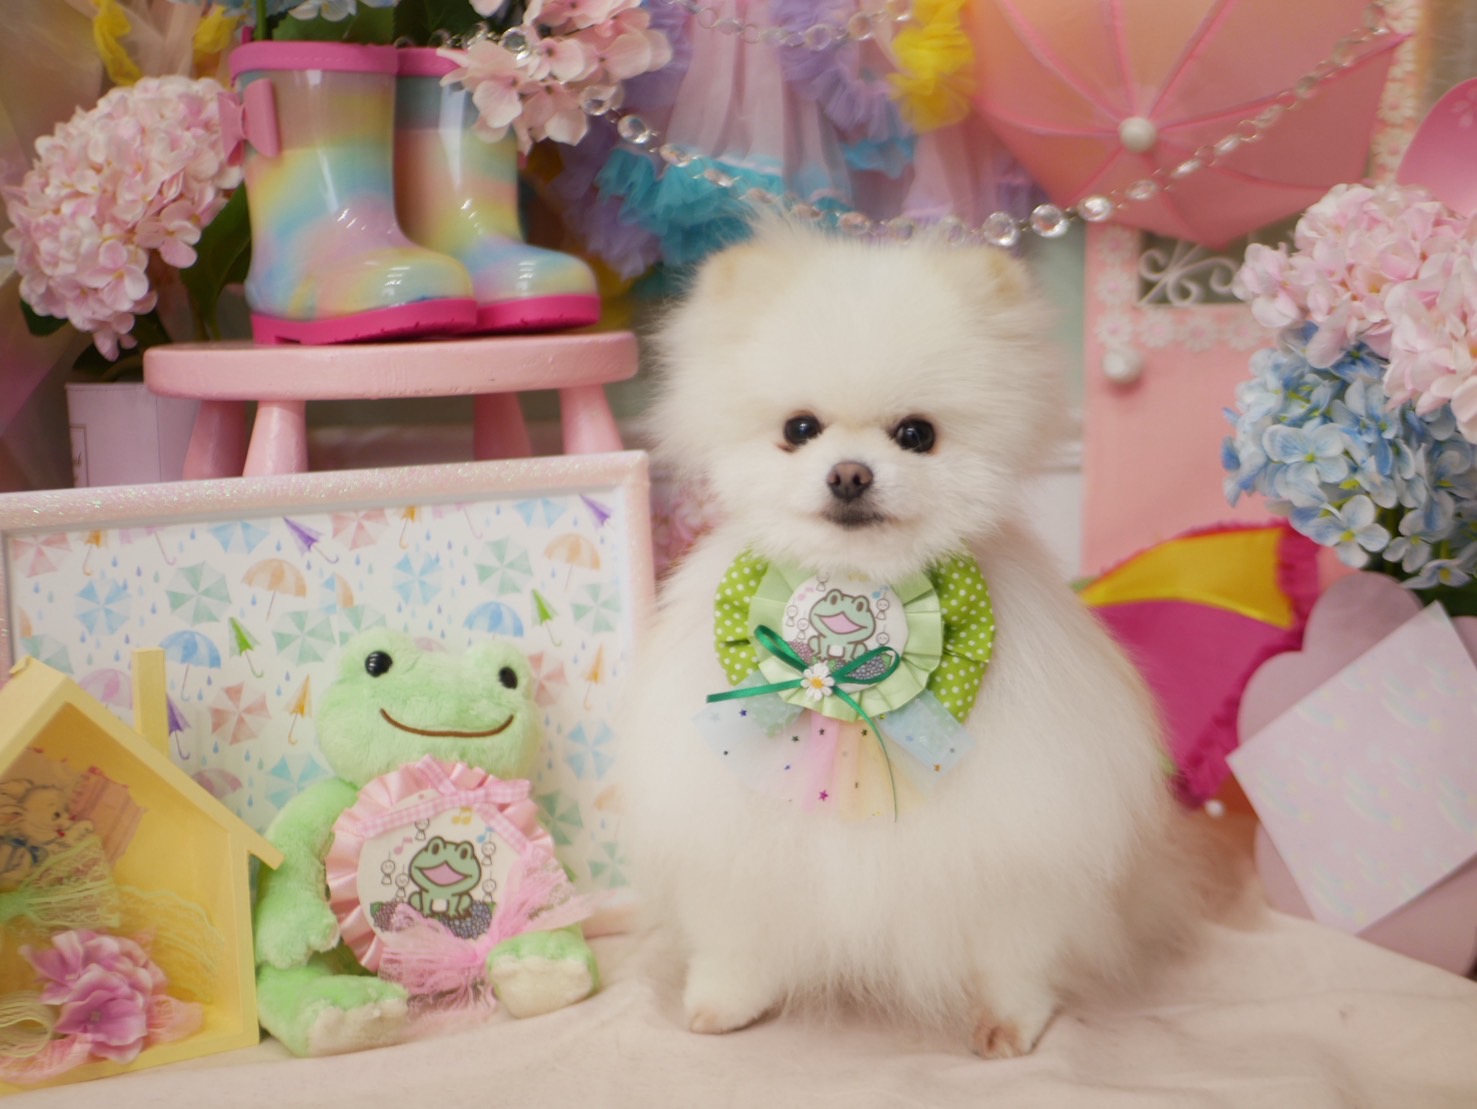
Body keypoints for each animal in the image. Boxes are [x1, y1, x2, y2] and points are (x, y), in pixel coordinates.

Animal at [617, 217, 1197, 1058]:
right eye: (798, 429)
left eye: (916, 434)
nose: (850, 474)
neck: (865, 583)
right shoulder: (734, 839)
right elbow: (738, 936)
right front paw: (723, 1001)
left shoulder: (1021, 840)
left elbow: (1012, 951)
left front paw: (1010, 1018)